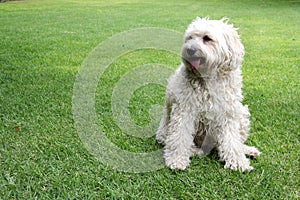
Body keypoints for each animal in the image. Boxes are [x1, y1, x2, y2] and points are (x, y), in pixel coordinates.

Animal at [157, 17, 260, 172]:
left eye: (207, 38)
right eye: (190, 38)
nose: (190, 50)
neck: (209, 77)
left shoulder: (228, 112)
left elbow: (232, 140)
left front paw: (237, 161)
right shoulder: (185, 110)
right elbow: (180, 136)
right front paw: (177, 160)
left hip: (242, 113)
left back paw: (248, 150)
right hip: (165, 132)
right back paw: (196, 151)